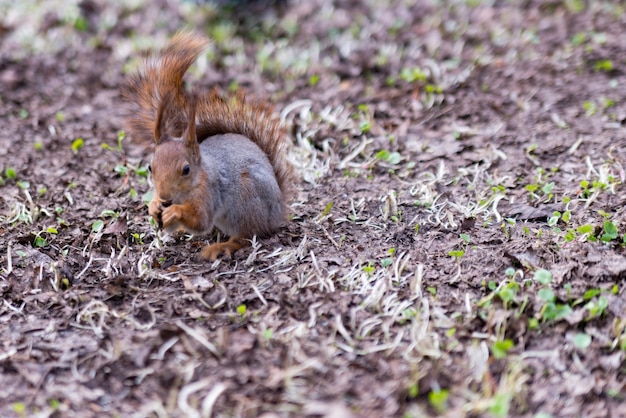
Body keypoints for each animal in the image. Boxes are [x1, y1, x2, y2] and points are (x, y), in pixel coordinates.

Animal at [121, 31, 292, 262]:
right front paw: (154, 205)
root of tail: (277, 213)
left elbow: (201, 220)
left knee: (245, 238)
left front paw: (174, 212)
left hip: (244, 207)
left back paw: (219, 247)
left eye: (186, 169)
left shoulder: (209, 194)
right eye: (150, 167)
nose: (164, 196)